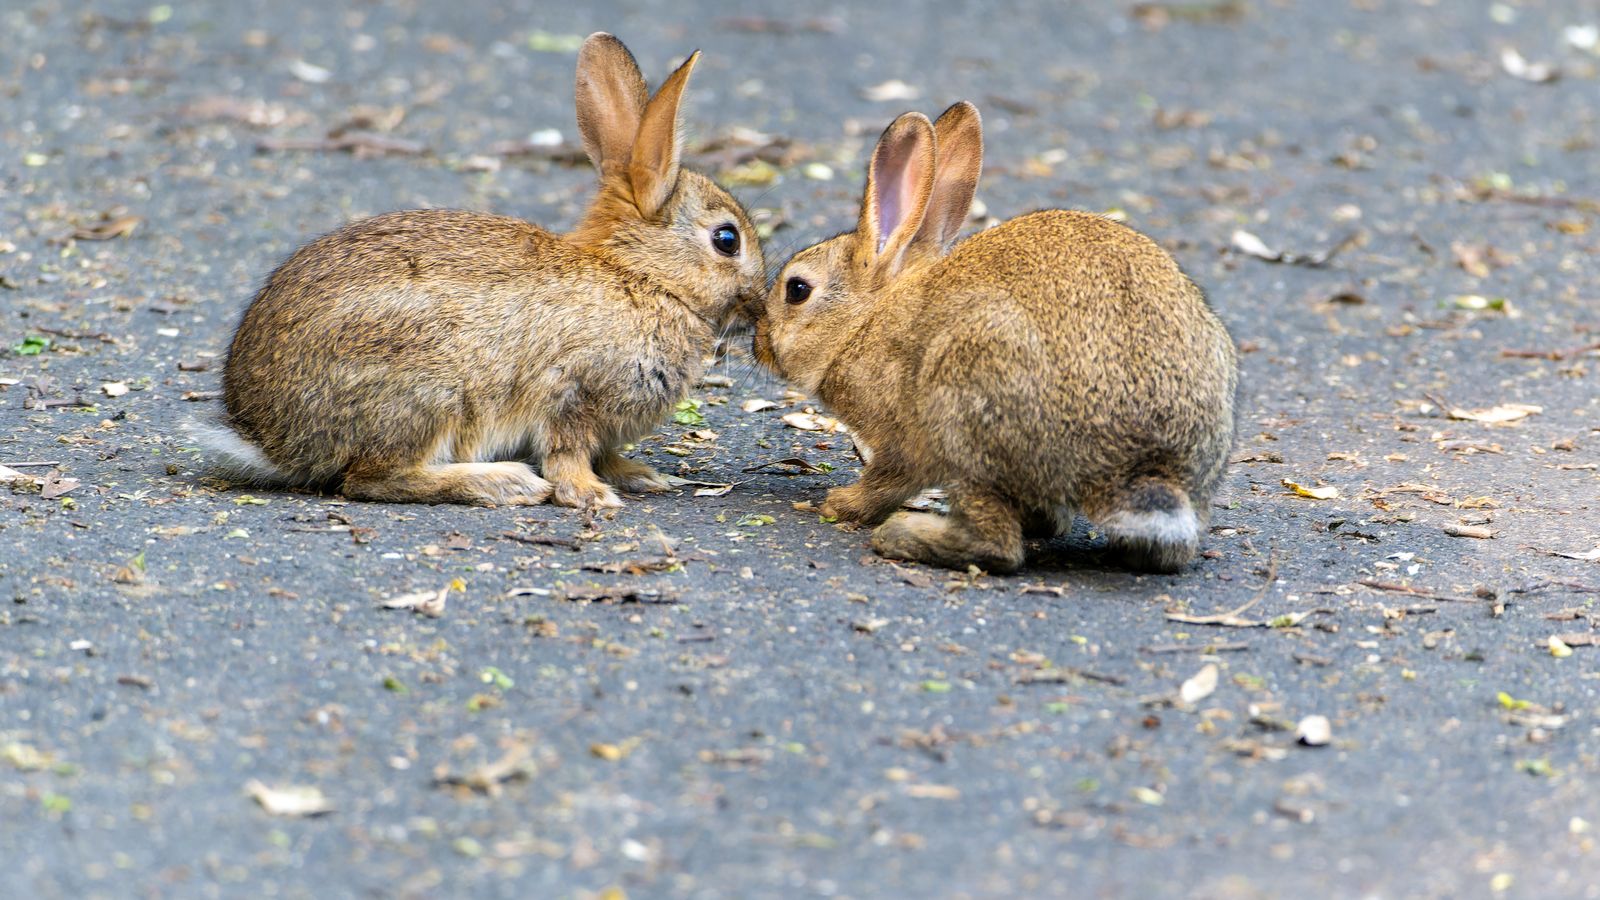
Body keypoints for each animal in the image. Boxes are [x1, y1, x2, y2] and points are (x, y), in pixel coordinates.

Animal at [194, 34, 766, 509]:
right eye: (727, 239)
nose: (760, 307)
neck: (643, 277)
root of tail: (268, 437)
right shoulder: (572, 393)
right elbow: (568, 453)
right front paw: (591, 496)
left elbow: (604, 454)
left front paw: (640, 476)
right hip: (427, 392)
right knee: (373, 478)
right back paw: (504, 482)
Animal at [751, 102, 1238, 573]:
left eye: (797, 289)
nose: (759, 342)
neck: (866, 320)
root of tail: (1145, 465)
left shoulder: (902, 439)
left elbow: (888, 479)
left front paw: (840, 504)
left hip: (966, 407)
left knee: (996, 545)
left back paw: (903, 535)